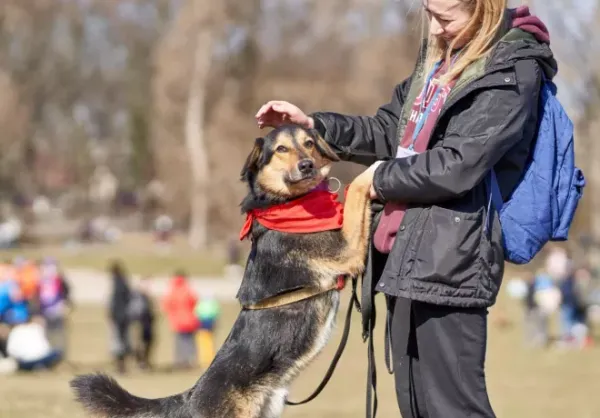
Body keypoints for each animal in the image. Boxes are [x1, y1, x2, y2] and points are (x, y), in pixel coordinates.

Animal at [69, 124, 370, 418]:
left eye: (309, 143)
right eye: (281, 149)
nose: (307, 165)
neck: (283, 203)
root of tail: (190, 396)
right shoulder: (345, 250)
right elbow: (356, 190)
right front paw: (375, 170)